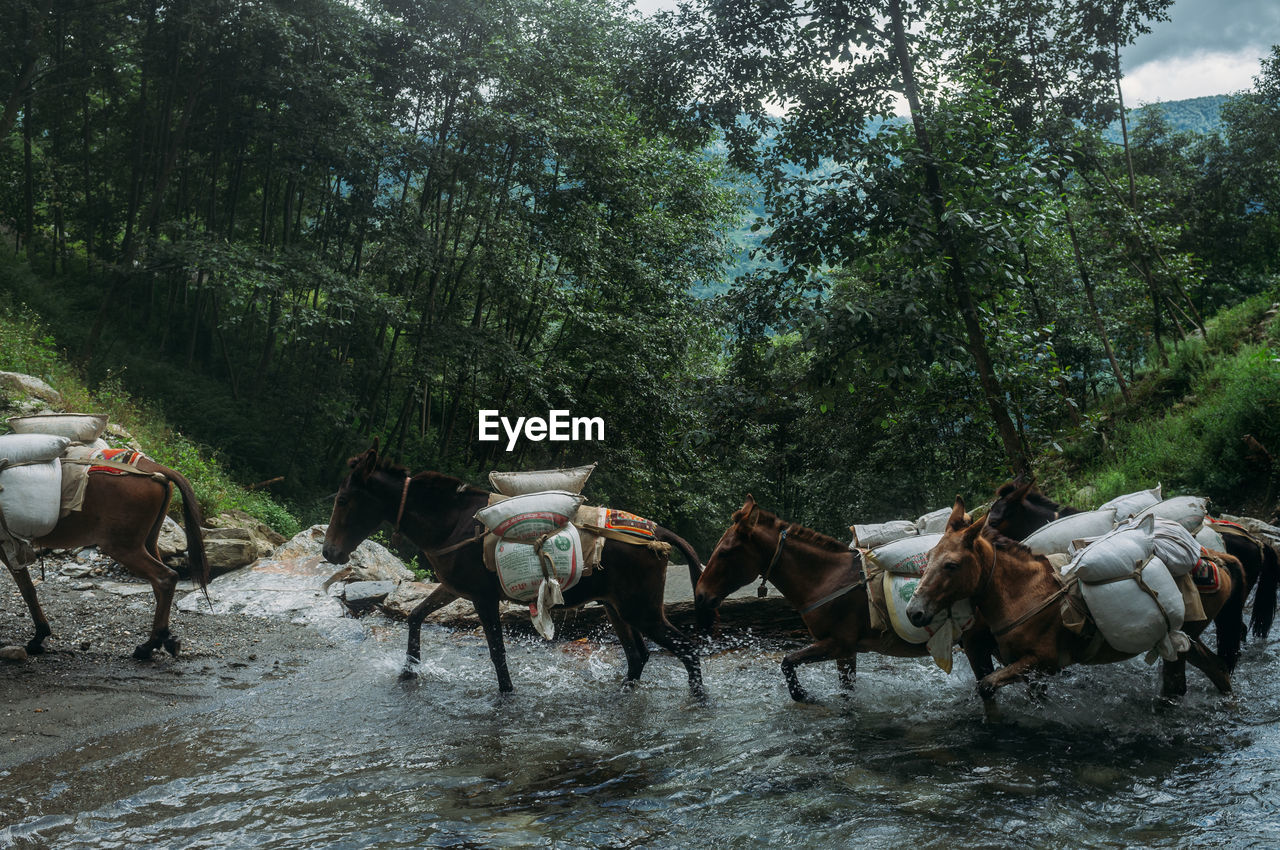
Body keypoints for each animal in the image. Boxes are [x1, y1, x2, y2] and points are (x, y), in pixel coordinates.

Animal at [3, 455, 207, 660]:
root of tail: (155, 468)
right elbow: (27, 588)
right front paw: (40, 635)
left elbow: (27, 589)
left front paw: (38, 637)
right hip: (148, 540)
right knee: (160, 583)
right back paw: (166, 639)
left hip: (123, 546)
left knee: (165, 577)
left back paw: (149, 645)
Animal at [316, 445, 706, 696]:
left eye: (343, 500)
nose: (329, 552)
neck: (452, 524)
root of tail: (659, 534)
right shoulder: (454, 588)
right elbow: (415, 616)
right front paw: (408, 671)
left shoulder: (483, 598)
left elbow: (497, 653)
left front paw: (506, 693)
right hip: (617, 608)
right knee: (638, 656)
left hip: (641, 610)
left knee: (687, 649)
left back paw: (698, 699)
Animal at [691, 494, 998, 701]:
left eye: (725, 552)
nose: (701, 595)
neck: (827, 580)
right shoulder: (846, 652)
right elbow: (845, 691)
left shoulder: (838, 644)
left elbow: (788, 661)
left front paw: (803, 695)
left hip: (979, 641)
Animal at [906, 494, 1244, 711]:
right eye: (929, 557)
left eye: (951, 565)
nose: (914, 612)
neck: (1024, 593)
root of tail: (1214, 559)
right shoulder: (1030, 670)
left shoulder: (1043, 662)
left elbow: (987, 684)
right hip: (1187, 637)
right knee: (1216, 668)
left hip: (1181, 637)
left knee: (1180, 683)